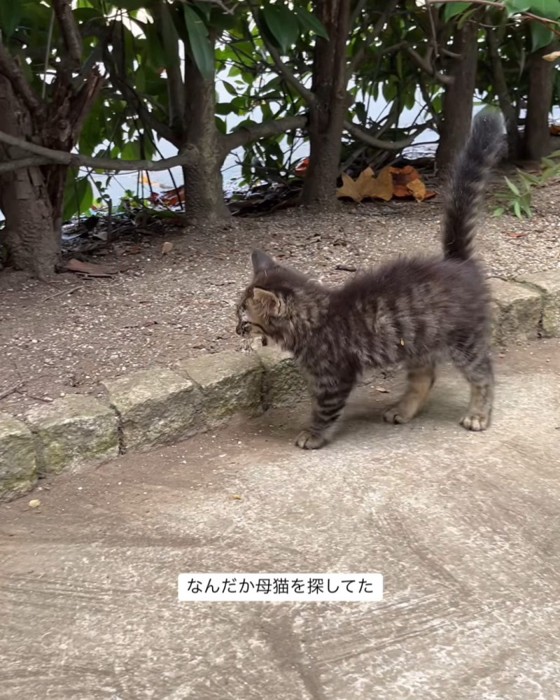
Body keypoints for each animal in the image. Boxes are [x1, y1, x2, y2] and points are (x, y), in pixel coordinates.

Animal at [236, 109, 508, 448]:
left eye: (245, 318)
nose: (236, 330)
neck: (315, 320)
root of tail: (456, 262)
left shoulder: (335, 377)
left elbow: (324, 409)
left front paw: (313, 434)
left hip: (464, 340)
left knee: (484, 374)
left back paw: (478, 414)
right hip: (418, 342)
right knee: (425, 377)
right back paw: (403, 409)